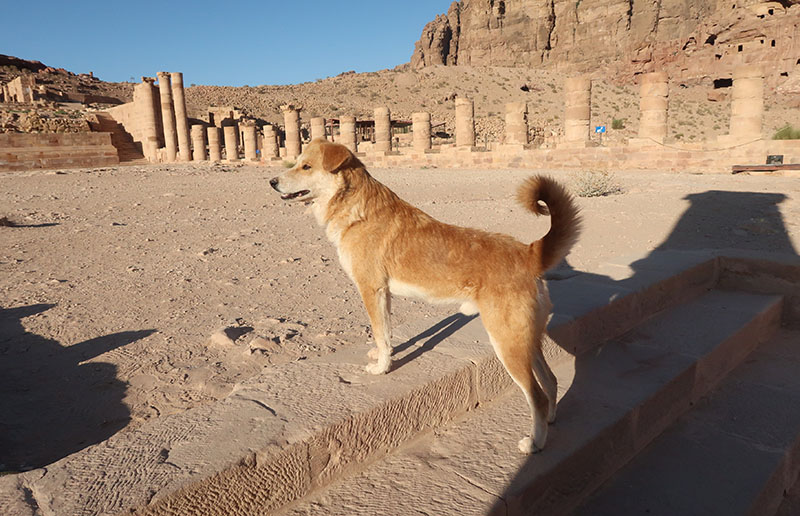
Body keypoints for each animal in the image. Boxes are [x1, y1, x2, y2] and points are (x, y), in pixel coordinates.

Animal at [270, 138, 580, 452]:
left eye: (306, 166)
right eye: (297, 162)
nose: (272, 182)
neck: (357, 209)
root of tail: (528, 253)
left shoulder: (370, 288)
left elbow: (380, 334)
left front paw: (381, 368)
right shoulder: (384, 293)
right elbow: (386, 335)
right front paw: (383, 356)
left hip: (508, 344)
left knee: (537, 396)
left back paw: (535, 442)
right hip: (526, 340)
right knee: (551, 381)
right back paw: (551, 420)